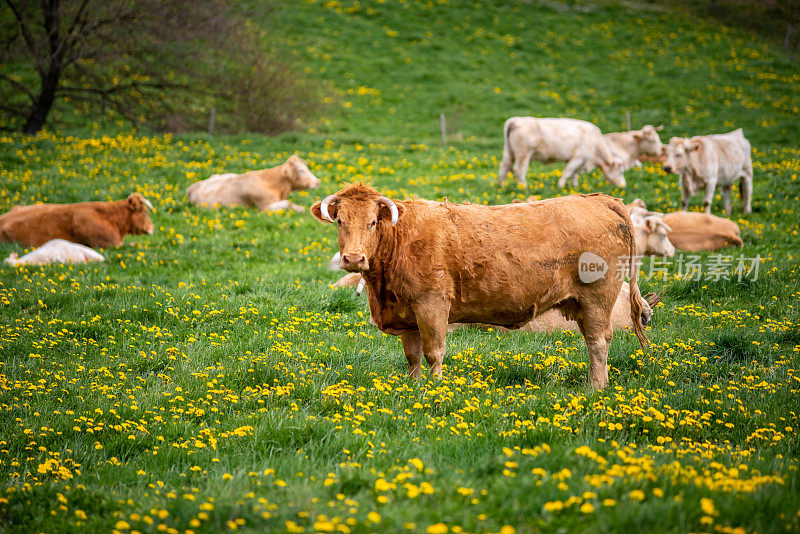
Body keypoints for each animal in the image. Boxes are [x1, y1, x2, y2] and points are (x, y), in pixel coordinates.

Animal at [188, 154, 322, 213]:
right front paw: (300, 209)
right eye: (301, 171)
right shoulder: (265, 207)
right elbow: (288, 203)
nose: (317, 182)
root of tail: (191, 188)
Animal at [310, 186, 648, 392]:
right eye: (339, 221)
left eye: (372, 222)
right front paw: (415, 387)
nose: (354, 258)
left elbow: (434, 352)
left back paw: (596, 386)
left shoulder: (432, 304)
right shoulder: (407, 313)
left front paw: (434, 388)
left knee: (598, 342)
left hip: (597, 299)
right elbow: (413, 356)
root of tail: (595, 198)